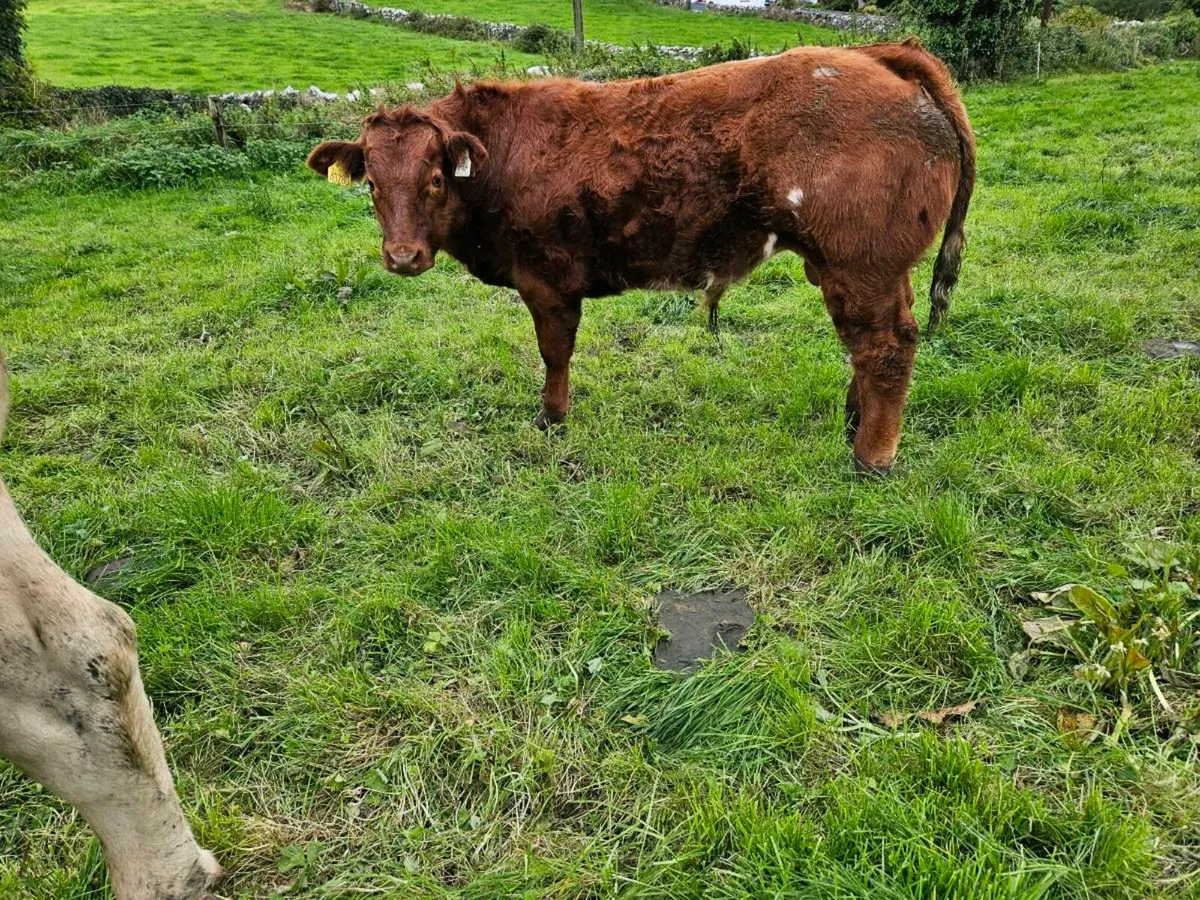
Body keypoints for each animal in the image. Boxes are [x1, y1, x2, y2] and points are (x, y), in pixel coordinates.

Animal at [307, 39, 975, 474]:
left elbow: (555, 353)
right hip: (873, 267)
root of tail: (877, 54)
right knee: (877, 342)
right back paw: (853, 423)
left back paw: (871, 456)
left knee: (884, 347)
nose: (403, 256)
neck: (503, 153)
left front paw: (552, 420)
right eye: (372, 183)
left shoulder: (547, 279)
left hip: (858, 264)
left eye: (435, 179)